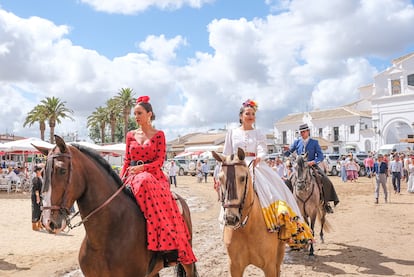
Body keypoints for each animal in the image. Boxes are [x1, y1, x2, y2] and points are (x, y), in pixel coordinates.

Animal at [212, 148, 286, 276]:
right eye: (220, 178)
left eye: (242, 178)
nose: (231, 218)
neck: (247, 229)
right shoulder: (235, 267)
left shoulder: (269, 266)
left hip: (280, 250)